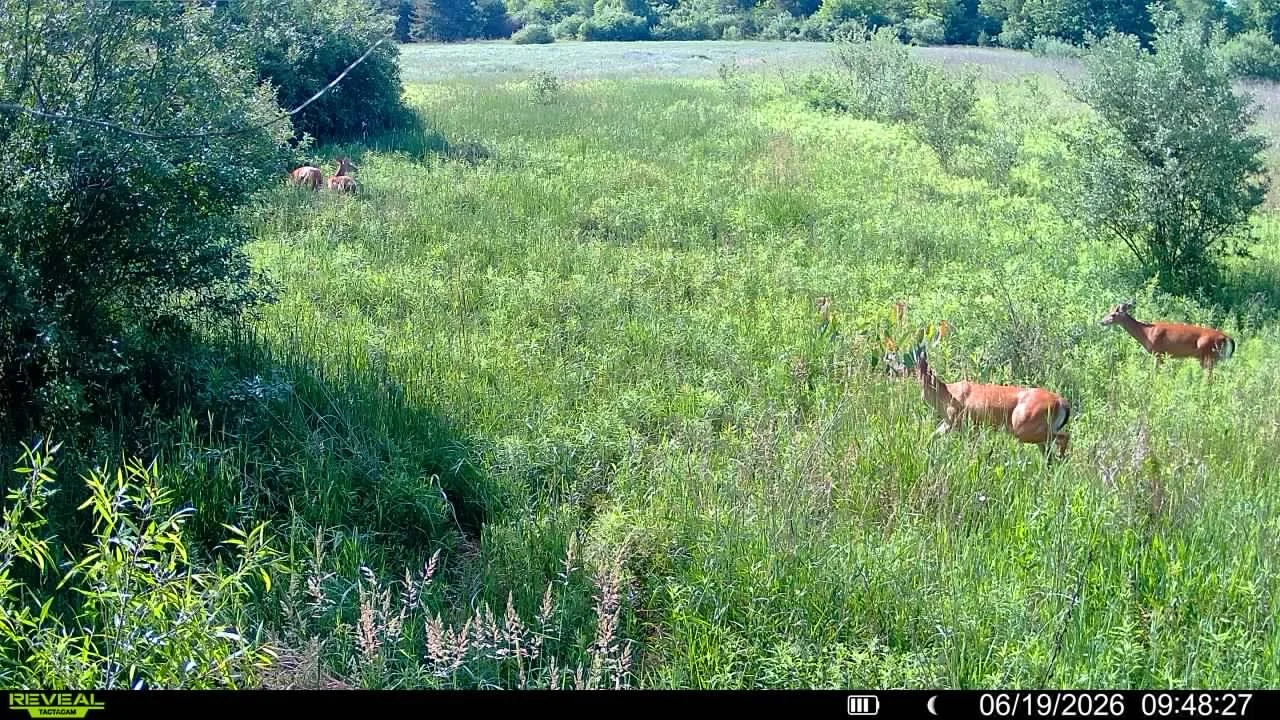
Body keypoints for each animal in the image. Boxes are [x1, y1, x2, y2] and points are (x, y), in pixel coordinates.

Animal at [911, 345, 1071, 459]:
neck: (945, 394)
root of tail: (1061, 402)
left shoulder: (965, 423)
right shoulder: (949, 423)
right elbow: (931, 437)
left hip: (1024, 427)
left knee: (1064, 437)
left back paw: (1062, 459)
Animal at [1099, 301, 1235, 382]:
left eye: (1113, 314)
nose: (1101, 321)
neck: (1147, 333)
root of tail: (1226, 338)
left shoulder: (1158, 352)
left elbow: (1155, 373)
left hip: (1208, 355)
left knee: (1209, 378)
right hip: (1215, 358)